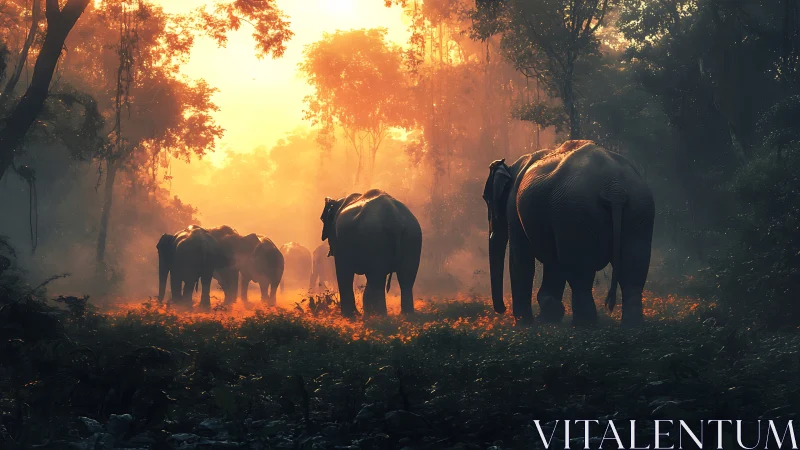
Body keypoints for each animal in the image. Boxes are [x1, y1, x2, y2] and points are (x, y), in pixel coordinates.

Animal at [320, 189, 422, 317]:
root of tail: (395, 219)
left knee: (377, 279)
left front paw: (350, 315)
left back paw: (378, 316)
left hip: (376, 237)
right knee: (406, 277)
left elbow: (343, 270)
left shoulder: (338, 241)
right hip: (412, 236)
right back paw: (405, 316)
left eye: (322, 220)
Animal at [482, 140, 655, 326]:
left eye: (486, 198)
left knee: (579, 272)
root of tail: (614, 187)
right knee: (633, 267)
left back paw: (582, 325)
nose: (501, 309)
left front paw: (526, 323)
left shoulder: (514, 210)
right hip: (639, 210)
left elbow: (521, 259)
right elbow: (552, 262)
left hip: (574, 212)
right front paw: (547, 316)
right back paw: (632, 325)